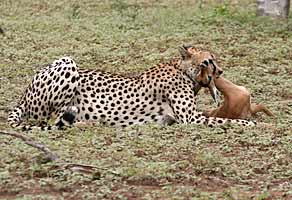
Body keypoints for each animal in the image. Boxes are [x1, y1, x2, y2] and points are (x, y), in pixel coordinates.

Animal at [7, 44, 256, 130]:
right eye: (207, 61)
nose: (220, 72)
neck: (183, 70)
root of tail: (23, 95)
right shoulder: (191, 118)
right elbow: (228, 120)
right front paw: (254, 123)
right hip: (68, 62)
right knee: (48, 120)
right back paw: (86, 124)